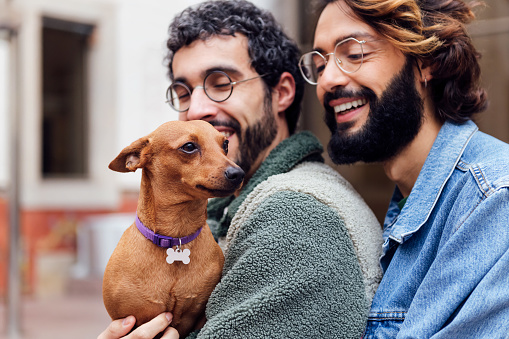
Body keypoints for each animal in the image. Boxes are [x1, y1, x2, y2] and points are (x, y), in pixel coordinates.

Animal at [101, 119, 244, 338]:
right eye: (189, 147)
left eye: (225, 144)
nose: (238, 173)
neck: (176, 235)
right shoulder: (127, 318)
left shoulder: (198, 317)